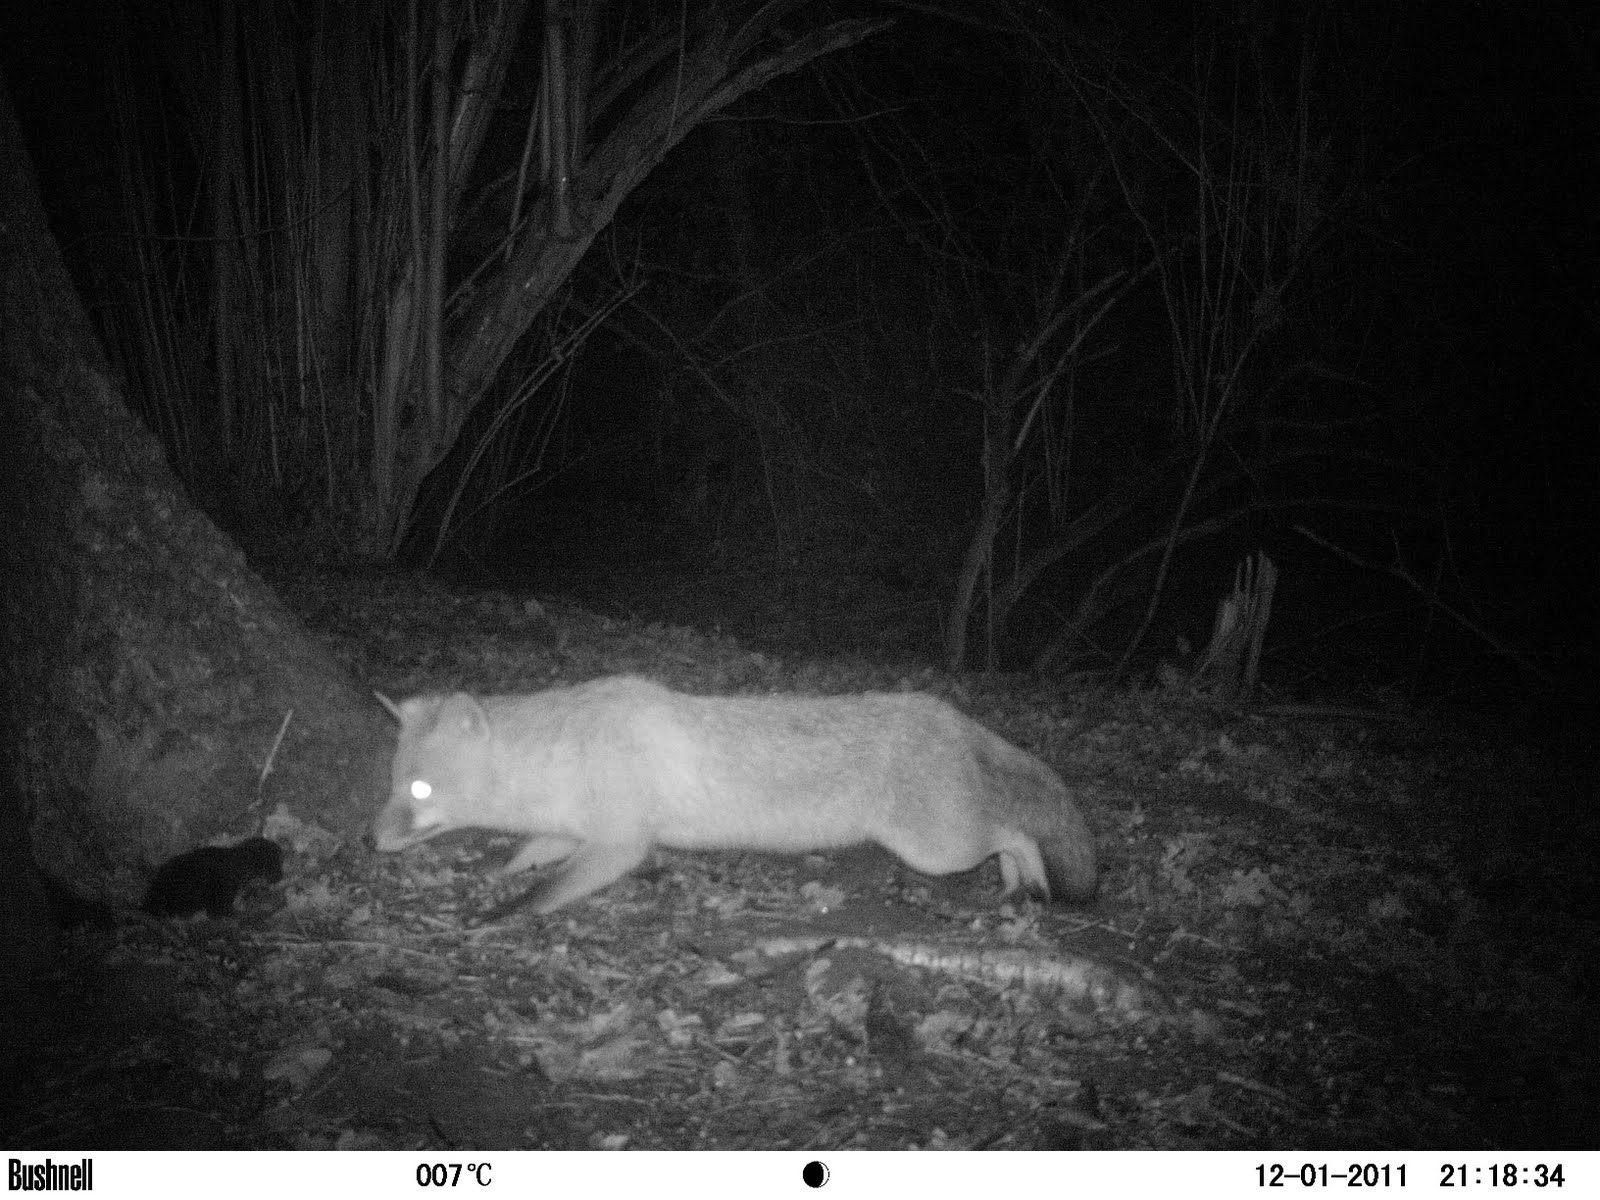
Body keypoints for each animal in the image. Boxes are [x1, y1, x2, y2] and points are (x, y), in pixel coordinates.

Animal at [369, 675, 1096, 914]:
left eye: (421, 788)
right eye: (394, 782)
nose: (370, 840)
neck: (569, 755)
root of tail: (949, 714)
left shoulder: (622, 845)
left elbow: (543, 894)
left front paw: (495, 916)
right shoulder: (574, 829)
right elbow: (527, 857)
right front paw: (495, 873)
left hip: (936, 852)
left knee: (1016, 831)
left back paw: (1029, 882)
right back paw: (1019, 887)